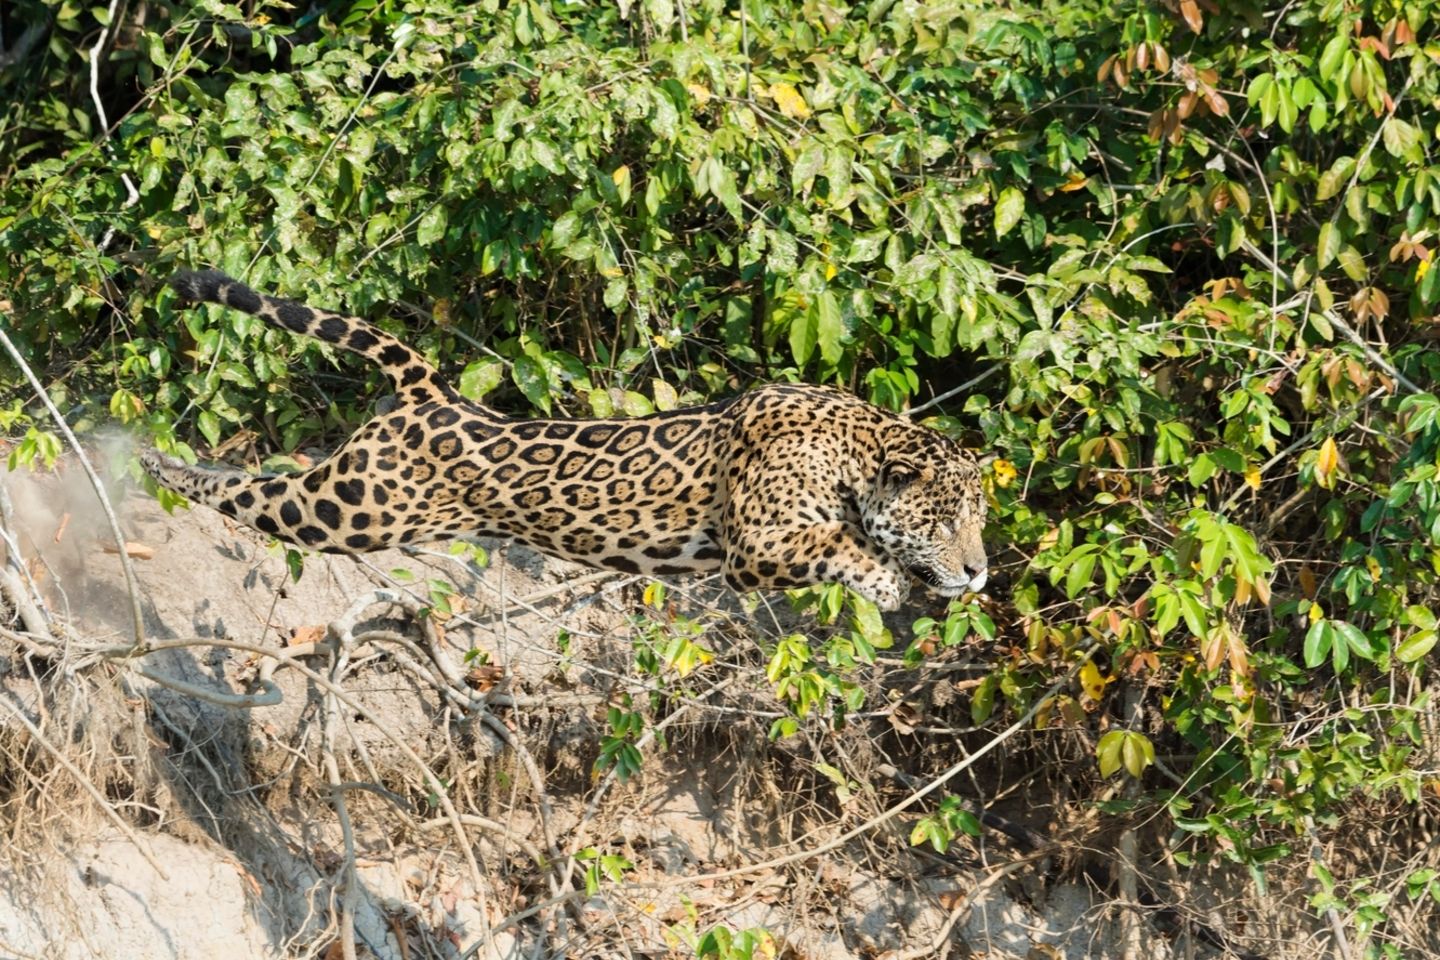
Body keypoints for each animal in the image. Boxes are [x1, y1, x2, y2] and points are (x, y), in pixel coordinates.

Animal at [141, 270, 989, 611]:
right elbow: (837, 546)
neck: (858, 448)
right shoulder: (756, 545)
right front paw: (884, 579)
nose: (980, 572)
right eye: (947, 522)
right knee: (252, 492)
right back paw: (158, 464)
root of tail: (433, 390)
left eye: (979, 522)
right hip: (353, 509)